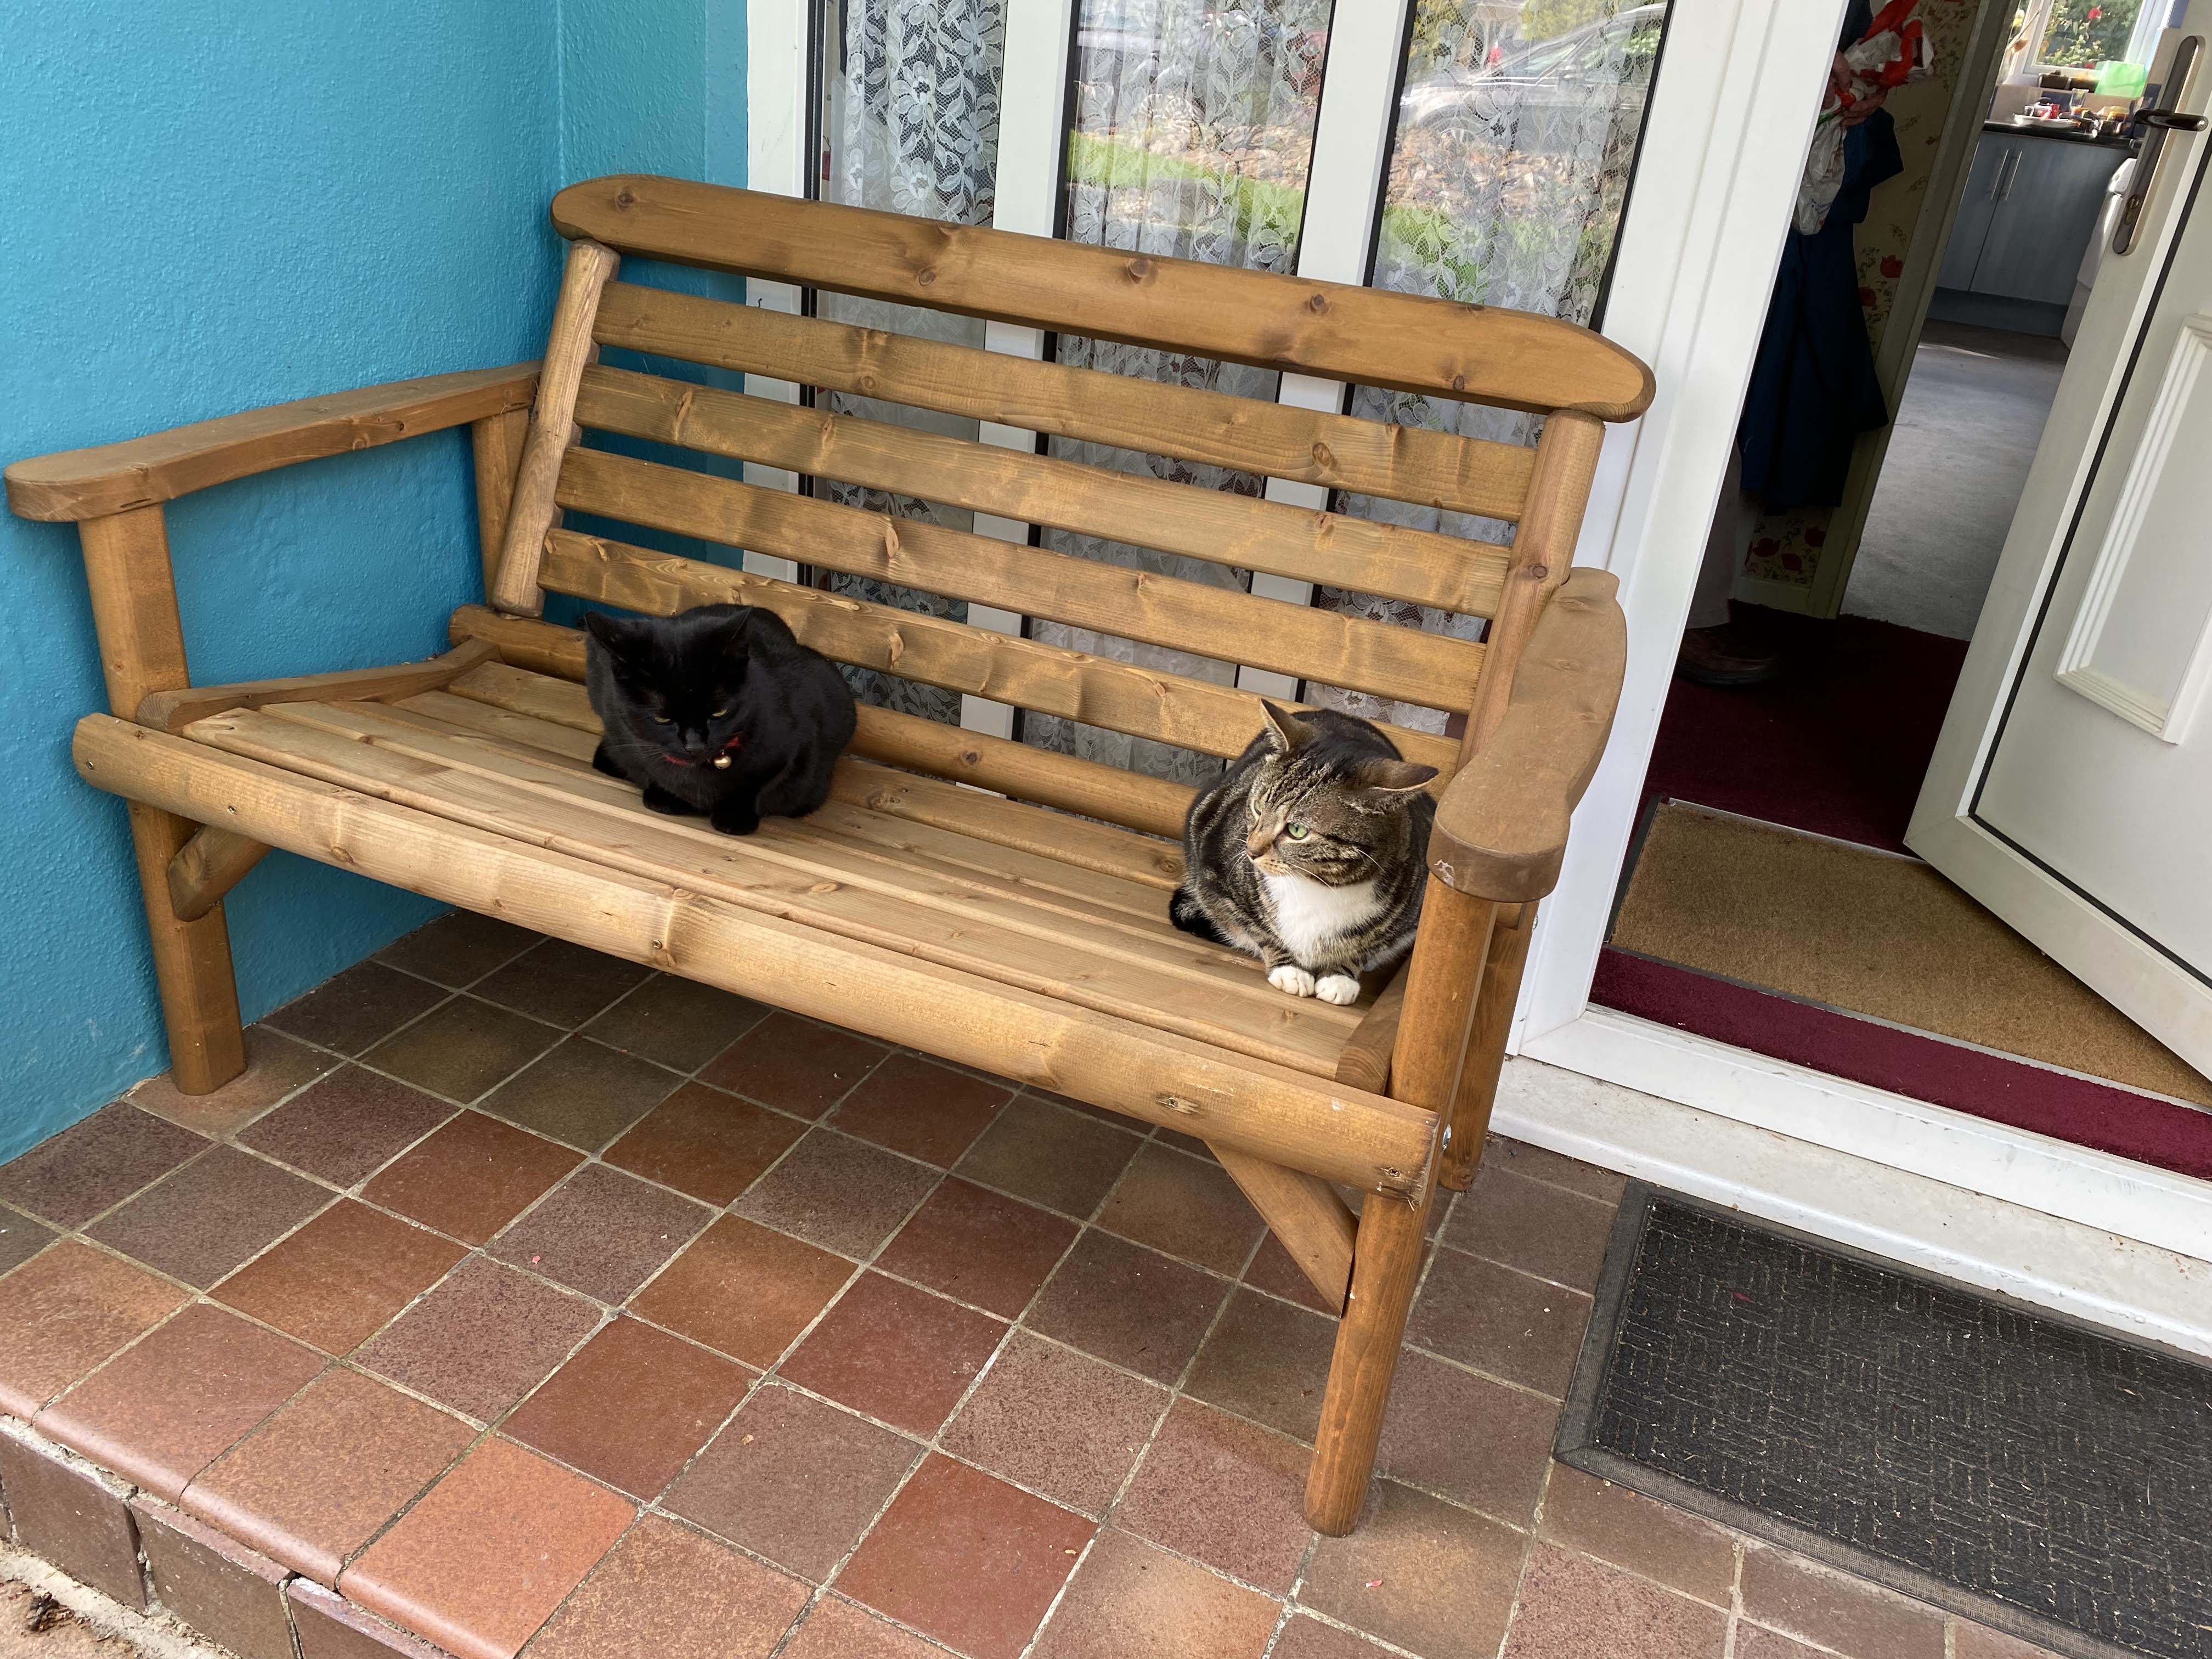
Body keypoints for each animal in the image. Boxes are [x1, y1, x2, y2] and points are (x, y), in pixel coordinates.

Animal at [584, 606, 858, 836]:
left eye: (719, 713)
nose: (694, 745)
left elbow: (759, 785)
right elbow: (647, 769)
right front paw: (664, 796)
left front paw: (735, 817)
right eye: (662, 718)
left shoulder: (796, 743)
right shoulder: (619, 728)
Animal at [1167, 703, 1442, 1000]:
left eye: (1297, 830)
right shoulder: (1216, 875)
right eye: (1257, 808)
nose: (1251, 851)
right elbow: (1258, 928)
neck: (1321, 884)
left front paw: (1340, 977)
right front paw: (1289, 969)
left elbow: (1368, 945)